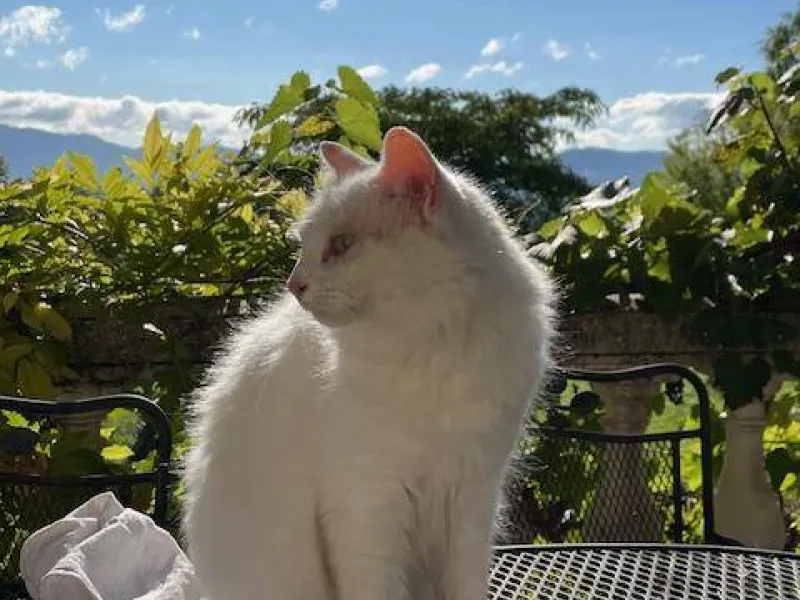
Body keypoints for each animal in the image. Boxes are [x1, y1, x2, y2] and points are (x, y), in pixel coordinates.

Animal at [182, 126, 556, 600]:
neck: (432, 347)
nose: (294, 285)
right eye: (305, 245)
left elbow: (467, 586)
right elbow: (378, 587)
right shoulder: (369, 504)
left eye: (341, 246)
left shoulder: (471, 499)